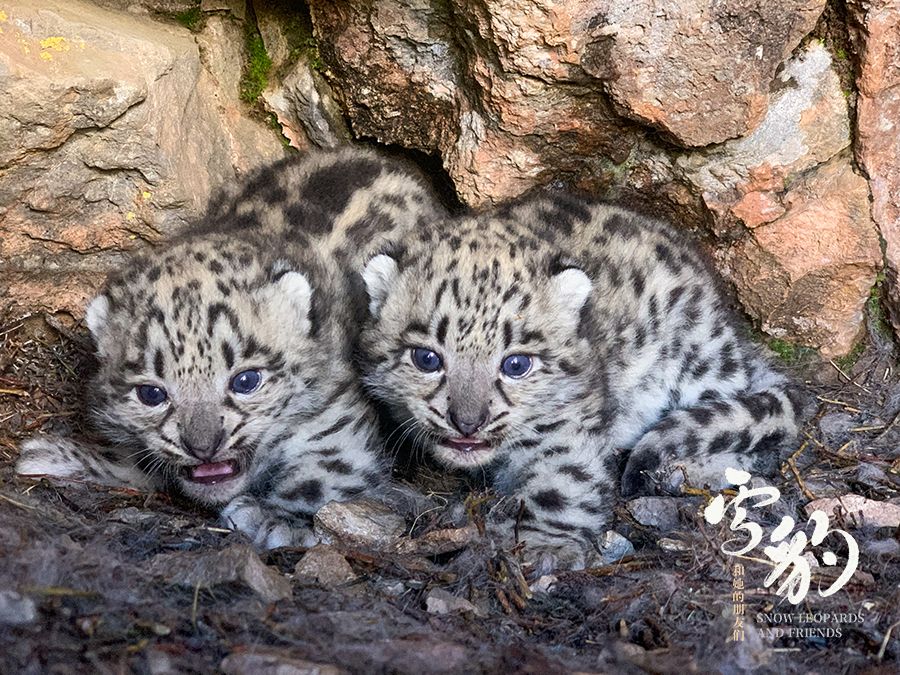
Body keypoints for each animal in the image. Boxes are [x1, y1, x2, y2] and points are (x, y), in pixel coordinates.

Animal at [16, 148, 445, 548]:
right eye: (151, 393)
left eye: (246, 380)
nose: (203, 447)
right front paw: (55, 456)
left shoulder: (339, 429)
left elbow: (322, 476)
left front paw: (270, 515)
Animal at [359, 191, 809, 571]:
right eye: (427, 358)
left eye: (516, 364)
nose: (467, 422)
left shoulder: (567, 429)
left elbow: (563, 483)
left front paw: (542, 546)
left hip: (699, 364)